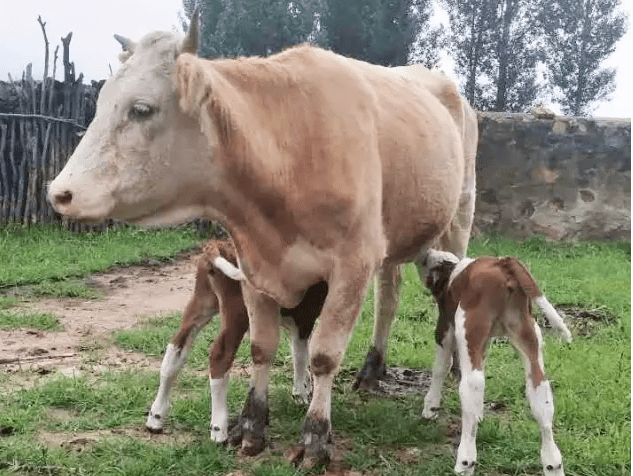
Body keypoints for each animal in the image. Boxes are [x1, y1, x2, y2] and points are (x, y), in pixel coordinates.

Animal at [146, 240, 328, 444]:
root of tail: (218, 244)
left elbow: (299, 353)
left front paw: (303, 390)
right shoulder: (305, 318)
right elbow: (301, 355)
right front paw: (302, 394)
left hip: (201, 304)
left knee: (175, 351)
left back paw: (155, 417)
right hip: (237, 310)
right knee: (219, 355)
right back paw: (219, 430)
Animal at [420, 249, 572, 476]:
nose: (426, 253)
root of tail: (503, 263)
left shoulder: (445, 329)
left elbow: (440, 368)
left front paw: (430, 407)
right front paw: (479, 414)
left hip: (469, 327)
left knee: (472, 385)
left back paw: (465, 461)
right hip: (528, 334)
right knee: (541, 395)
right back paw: (552, 463)